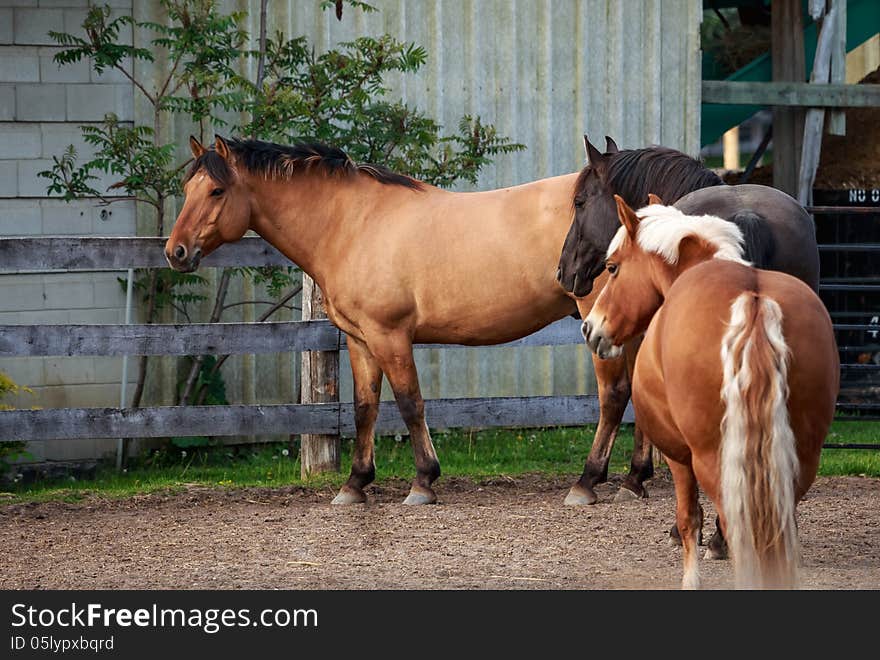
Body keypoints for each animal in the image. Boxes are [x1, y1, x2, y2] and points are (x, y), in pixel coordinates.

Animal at [167, 134, 624, 506]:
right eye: (187, 188)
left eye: (216, 190)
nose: (176, 251)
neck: (351, 225)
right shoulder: (360, 339)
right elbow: (364, 408)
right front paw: (355, 484)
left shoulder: (390, 335)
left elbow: (409, 403)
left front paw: (423, 482)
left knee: (613, 395)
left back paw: (586, 482)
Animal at [584, 196, 840, 588]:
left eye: (612, 268)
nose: (590, 327)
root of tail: (754, 301)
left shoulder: (679, 456)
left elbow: (690, 518)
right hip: (799, 460)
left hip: (711, 458)